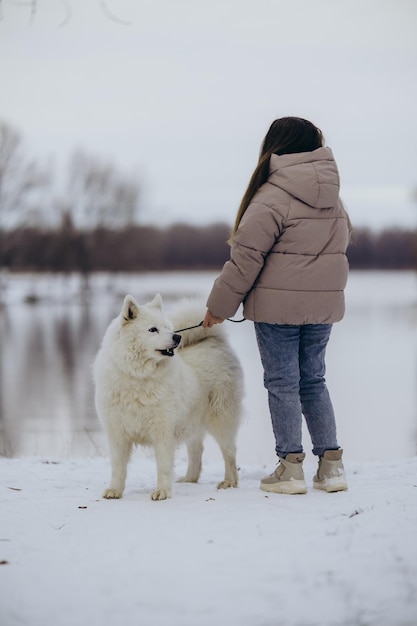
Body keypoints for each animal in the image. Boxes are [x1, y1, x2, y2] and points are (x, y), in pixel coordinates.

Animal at [92, 294, 242, 502]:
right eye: (153, 329)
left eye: (168, 328)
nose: (177, 337)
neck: (137, 376)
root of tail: (215, 340)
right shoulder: (117, 433)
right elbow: (118, 467)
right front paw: (115, 490)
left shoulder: (162, 431)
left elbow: (163, 465)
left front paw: (162, 492)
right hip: (192, 421)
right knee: (196, 451)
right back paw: (190, 479)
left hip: (221, 420)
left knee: (230, 454)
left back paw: (229, 482)